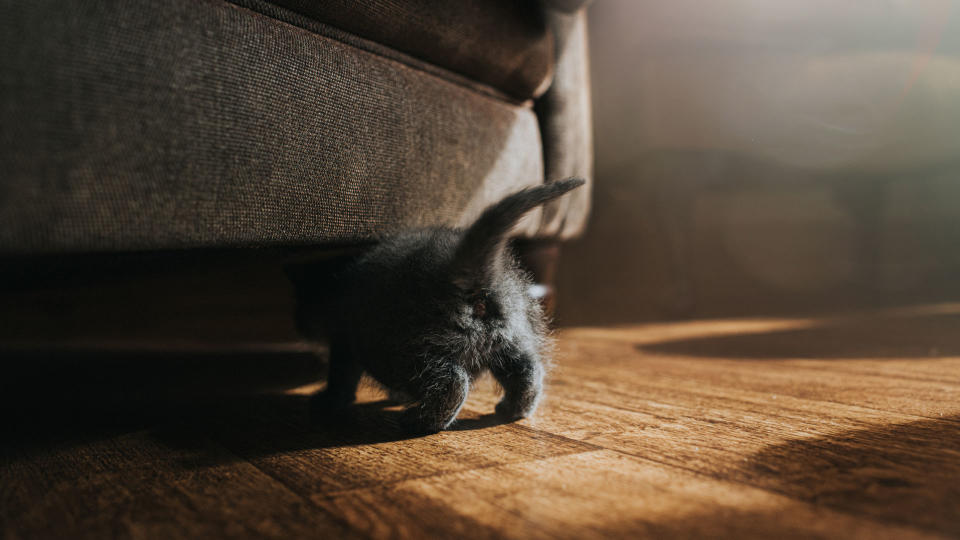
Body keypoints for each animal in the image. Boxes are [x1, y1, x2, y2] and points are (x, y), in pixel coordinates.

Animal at [284, 177, 584, 434]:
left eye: (301, 299)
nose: (297, 321)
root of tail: (460, 272)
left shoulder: (345, 340)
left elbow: (342, 376)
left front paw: (328, 402)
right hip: (510, 340)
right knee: (529, 371)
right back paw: (513, 409)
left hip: (399, 349)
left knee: (453, 383)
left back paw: (420, 421)